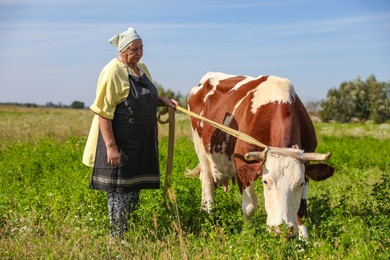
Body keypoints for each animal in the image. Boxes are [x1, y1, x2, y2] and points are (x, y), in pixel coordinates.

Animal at [187, 71, 334, 238]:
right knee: (207, 182)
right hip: (200, 148)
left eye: (300, 184)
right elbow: (249, 207)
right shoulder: (242, 165)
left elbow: (302, 209)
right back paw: (209, 215)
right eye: (265, 182)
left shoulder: (306, 168)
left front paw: (304, 238)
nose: (281, 229)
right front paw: (248, 234)